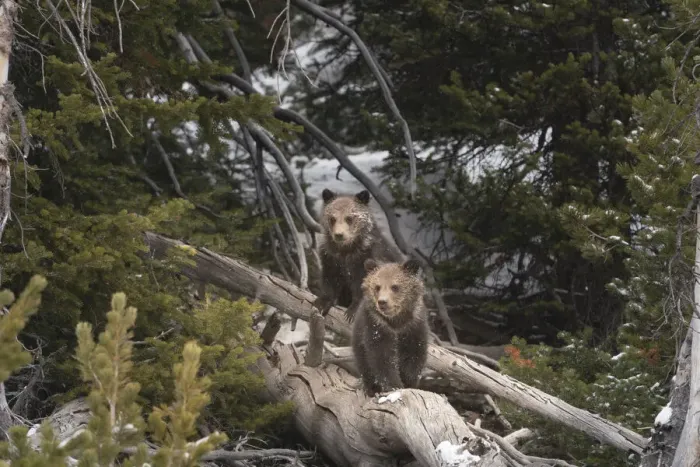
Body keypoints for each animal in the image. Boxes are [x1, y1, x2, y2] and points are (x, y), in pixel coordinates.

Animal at [313, 188, 404, 322]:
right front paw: (322, 303)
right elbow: (330, 279)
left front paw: (352, 311)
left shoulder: (366, 258)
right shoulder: (331, 257)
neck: (347, 251)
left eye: (349, 218)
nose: (339, 235)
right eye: (332, 218)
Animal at [351, 258, 429, 396]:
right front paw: (394, 385)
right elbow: (382, 356)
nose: (382, 302)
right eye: (377, 287)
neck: (396, 321)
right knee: (364, 364)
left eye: (395, 286)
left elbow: (415, 353)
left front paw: (409, 380)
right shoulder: (376, 324)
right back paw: (372, 388)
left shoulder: (414, 325)